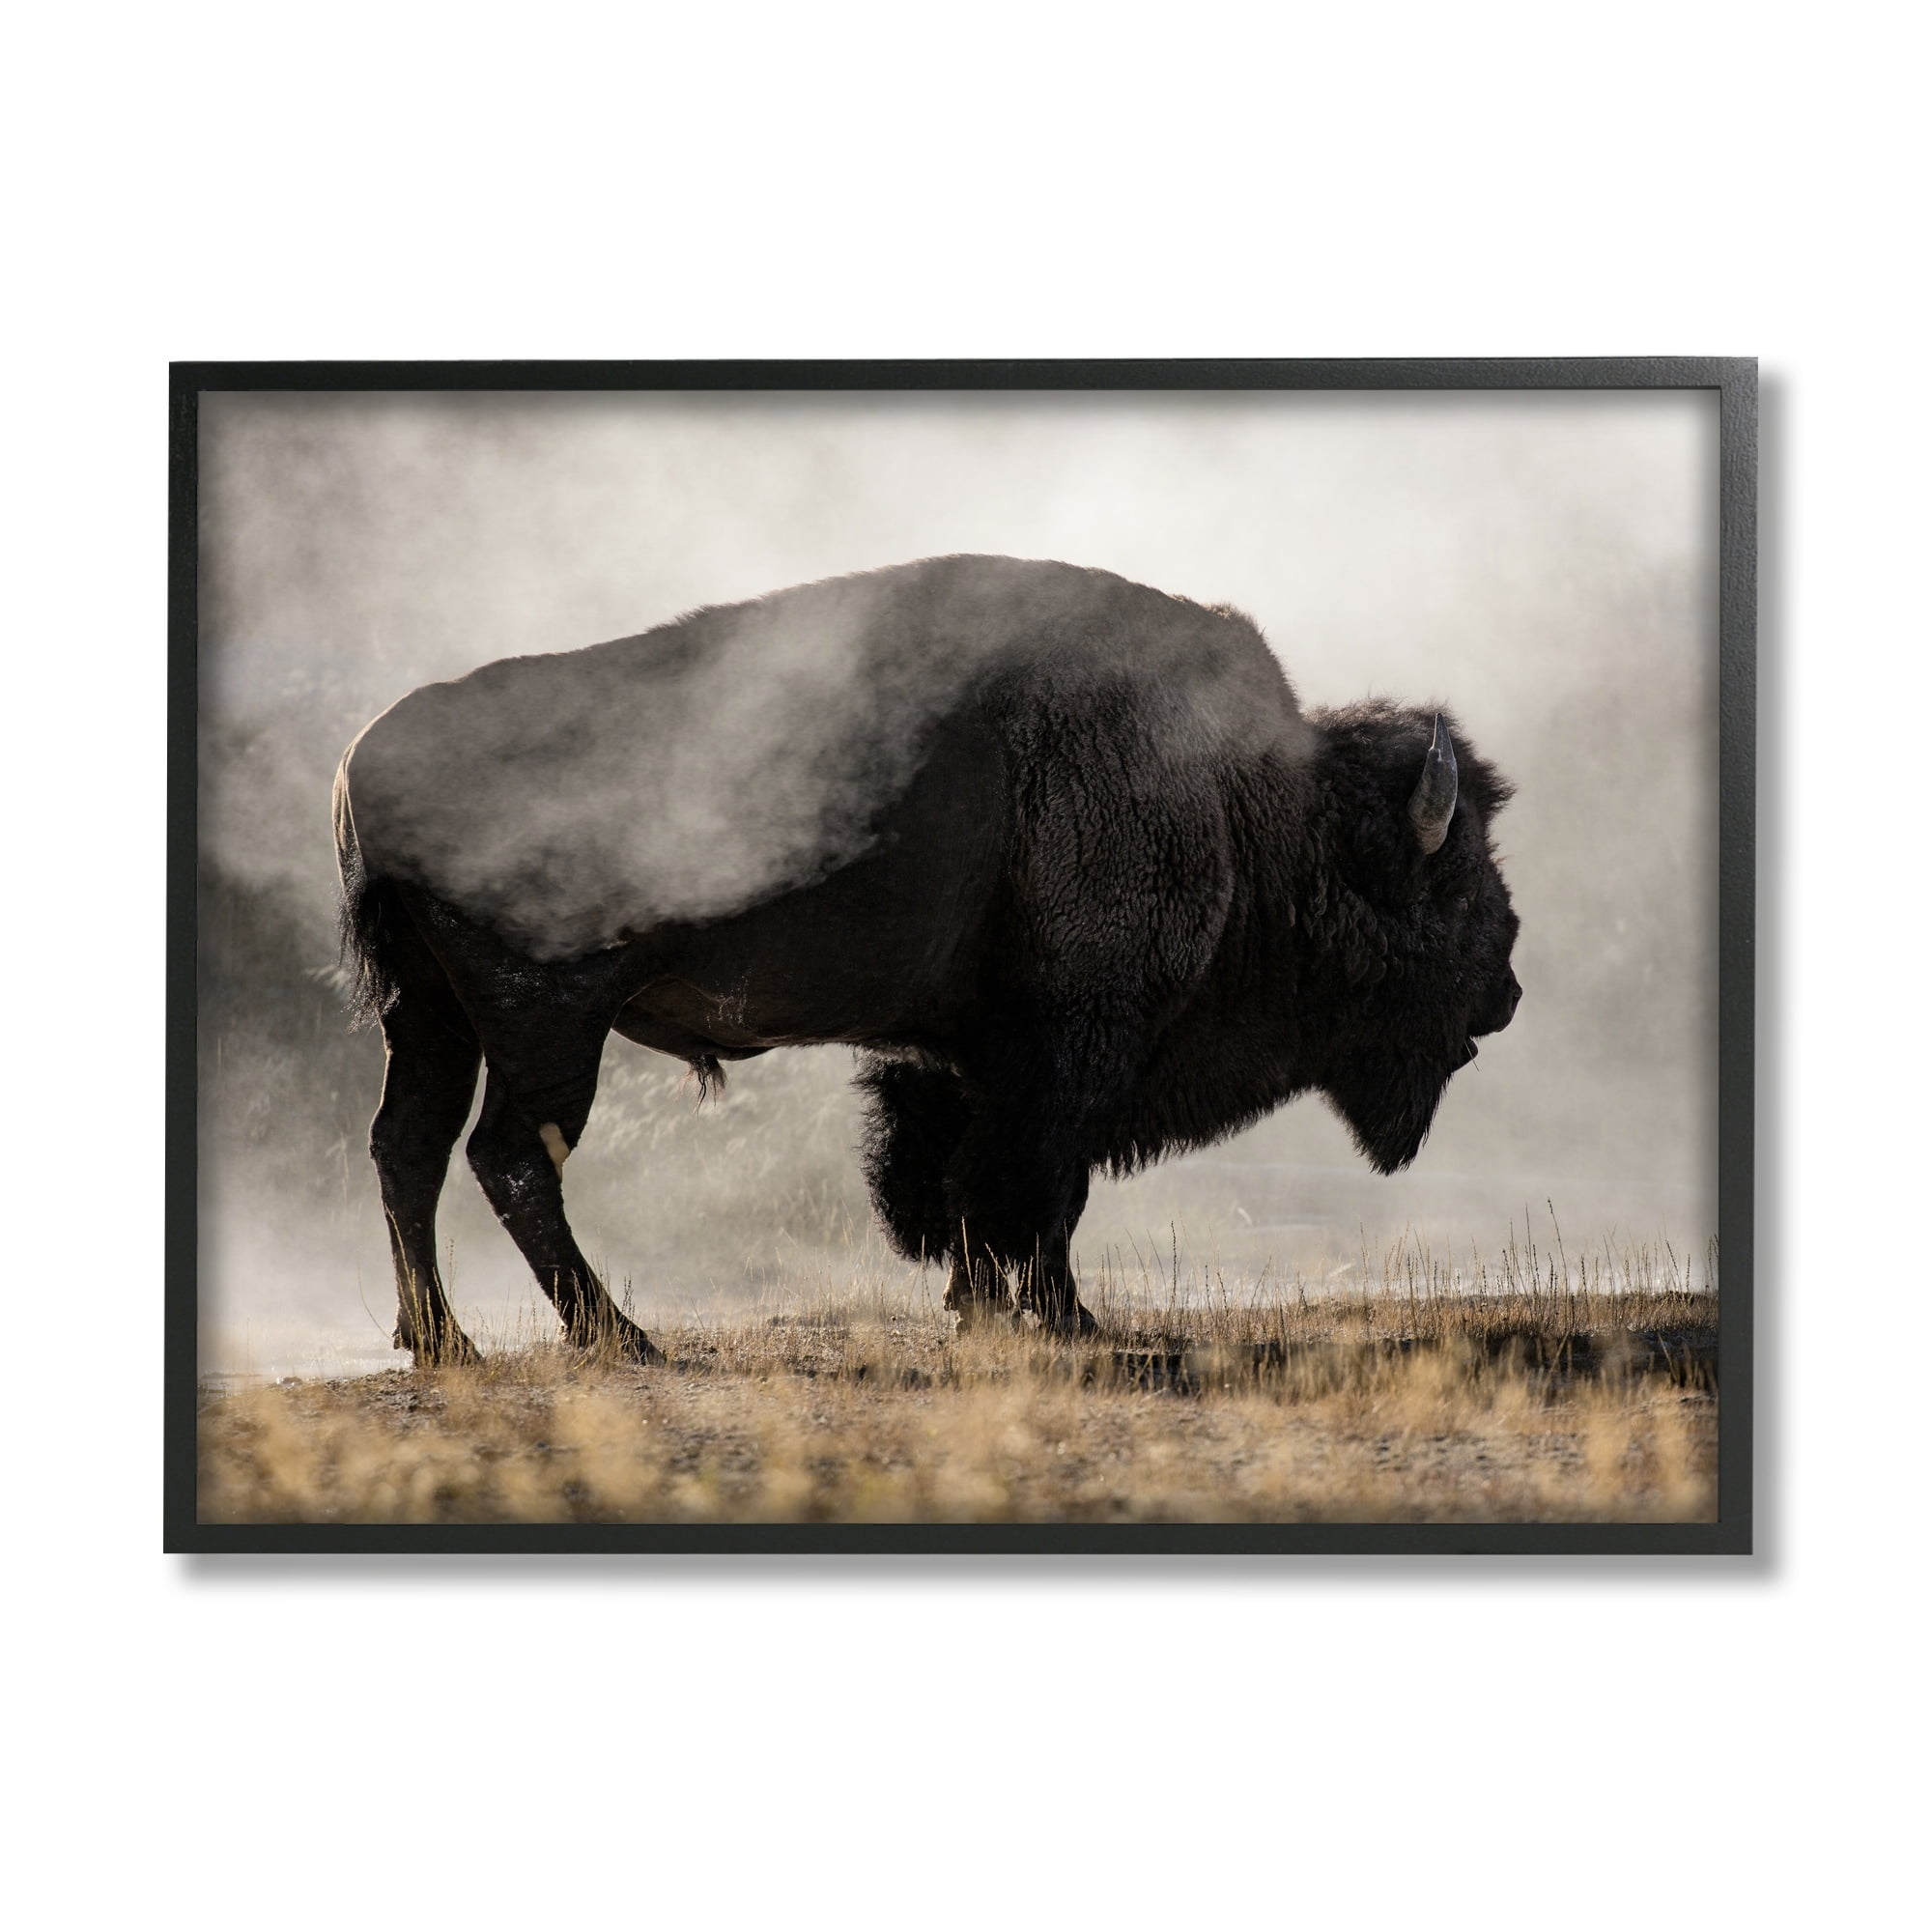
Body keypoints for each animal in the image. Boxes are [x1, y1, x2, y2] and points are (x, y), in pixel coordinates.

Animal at [333, 554, 1521, 1363]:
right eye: (1455, 882)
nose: (1505, 990)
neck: (1244, 799)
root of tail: (364, 759)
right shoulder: (1070, 1047)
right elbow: (1035, 1184)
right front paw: (1058, 1317)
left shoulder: (971, 1057)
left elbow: (969, 1182)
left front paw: (991, 1305)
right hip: (547, 1021)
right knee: (509, 1154)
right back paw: (622, 1338)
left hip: (429, 1013)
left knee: (408, 1146)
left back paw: (443, 1342)